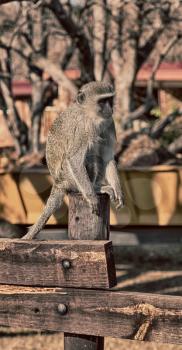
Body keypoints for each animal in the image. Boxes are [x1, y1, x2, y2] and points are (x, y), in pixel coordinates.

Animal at [22, 82, 123, 241]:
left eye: (109, 100)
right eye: (102, 101)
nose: (110, 109)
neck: (90, 115)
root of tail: (58, 182)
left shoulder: (109, 122)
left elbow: (107, 156)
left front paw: (119, 191)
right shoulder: (82, 128)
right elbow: (75, 158)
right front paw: (91, 197)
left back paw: (98, 185)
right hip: (69, 178)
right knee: (89, 158)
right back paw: (94, 189)